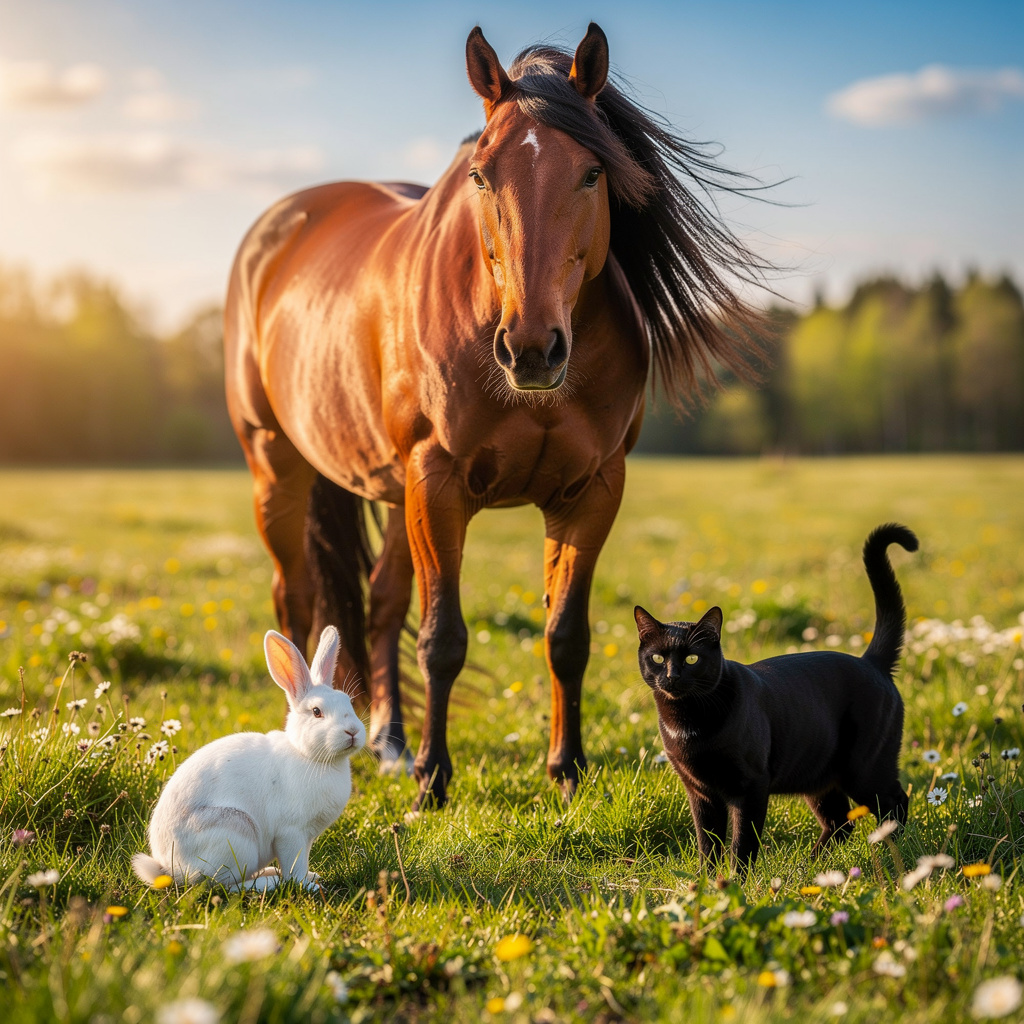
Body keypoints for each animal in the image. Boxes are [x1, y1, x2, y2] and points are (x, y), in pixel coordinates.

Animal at [132, 625, 365, 891]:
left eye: (348, 702)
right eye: (317, 712)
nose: (353, 732)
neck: (308, 756)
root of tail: (170, 869)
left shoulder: (306, 838)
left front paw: (312, 877)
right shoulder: (291, 834)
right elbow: (294, 867)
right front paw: (308, 886)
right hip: (236, 833)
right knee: (223, 886)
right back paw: (271, 881)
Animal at [224, 23, 768, 809]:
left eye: (593, 173)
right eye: (481, 176)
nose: (532, 348)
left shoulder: (592, 490)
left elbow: (565, 636)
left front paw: (566, 770)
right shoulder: (440, 480)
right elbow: (442, 638)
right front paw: (433, 780)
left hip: (395, 491)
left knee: (381, 603)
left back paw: (389, 744)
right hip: (279, 464)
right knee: (294, 601)